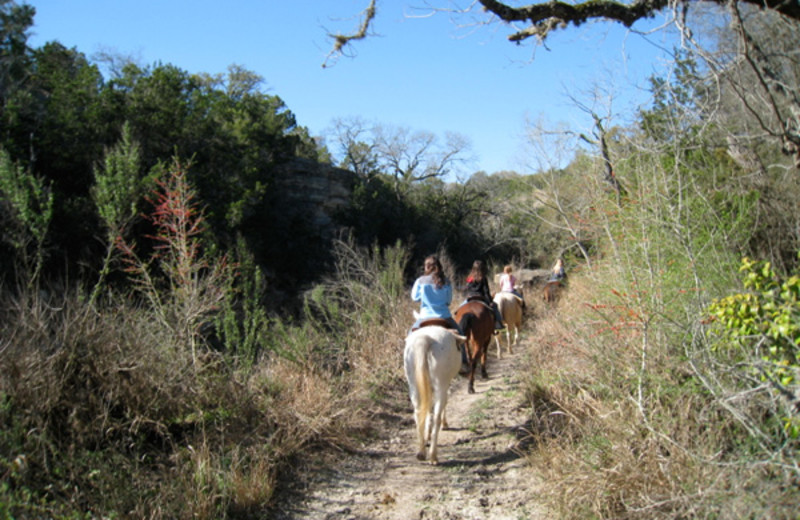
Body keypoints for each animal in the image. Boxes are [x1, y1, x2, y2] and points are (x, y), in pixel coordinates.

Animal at [404, 324, 466, 464]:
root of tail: (426, 338)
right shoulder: (445, 384)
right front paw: (445, 424)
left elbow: (427, 410)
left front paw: (427, 435)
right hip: (440, 384)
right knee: (437, 414)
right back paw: (433, 455)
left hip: (413, 385)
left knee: (418, 412)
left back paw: (421, 452)